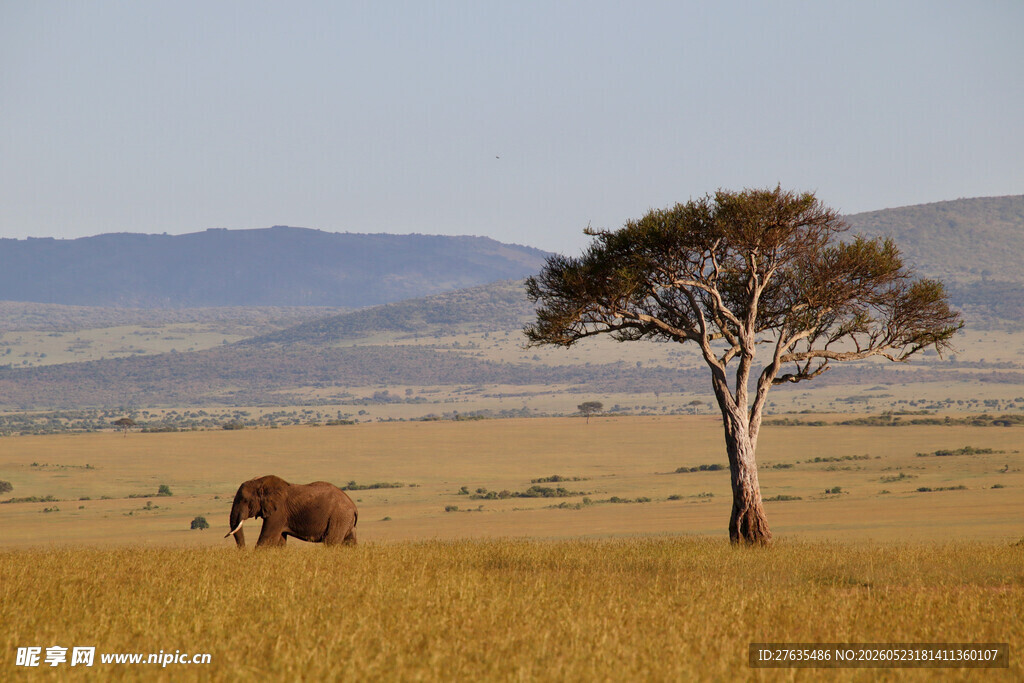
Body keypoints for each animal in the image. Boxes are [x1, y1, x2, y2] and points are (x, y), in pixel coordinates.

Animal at [225, 475, 357, 547]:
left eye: (245, 500)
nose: (243, 550)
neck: (261, 482)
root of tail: (353, 506)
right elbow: (280, 541)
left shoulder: (279, 511)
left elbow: (267, 538)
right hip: (345, 520)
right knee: (350, 543)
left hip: (339, 517)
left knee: (331, 542)